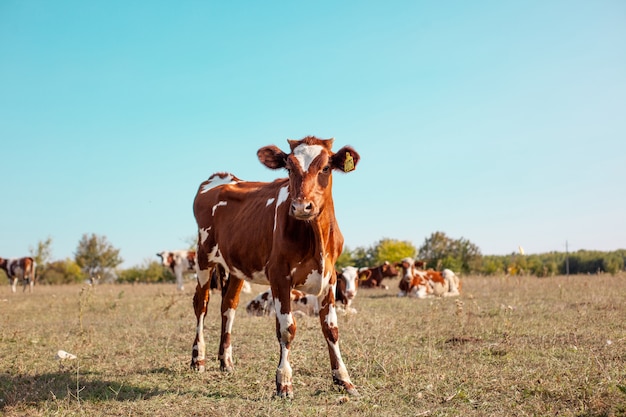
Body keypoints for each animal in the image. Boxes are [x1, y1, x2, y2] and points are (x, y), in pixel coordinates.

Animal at [190, 136, 358, 396]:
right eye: (288, 169)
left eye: (326, 168)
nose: (301, 207)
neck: (316, 237)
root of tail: (223, 177)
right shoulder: (279, 276)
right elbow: (287, 328)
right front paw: (284, 381)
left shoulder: (329, 278)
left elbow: (331, 329)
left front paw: (343, 378)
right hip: (203, 255)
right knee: (202, 304)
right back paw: (198, 359)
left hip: (236, 266)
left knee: (228, 306)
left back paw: (226, 361)